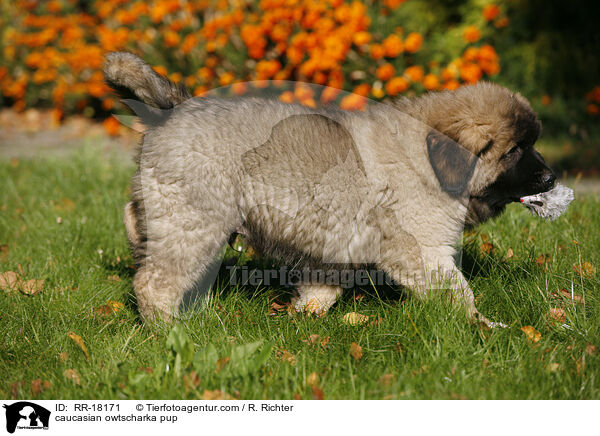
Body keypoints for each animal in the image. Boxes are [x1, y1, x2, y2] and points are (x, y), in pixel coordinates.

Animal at [104, 52, 556, 328]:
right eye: (516, 150)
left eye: (532, 143)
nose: (552, 178)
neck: (426, 158)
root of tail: (173, 109)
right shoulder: (423, 249)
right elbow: (458, 292)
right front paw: (483, 326)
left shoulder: (337, 246)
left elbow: (323, 286)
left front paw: (304, 315)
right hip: (195, 219)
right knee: (155, 281)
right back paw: (167, 329)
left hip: (171, 205)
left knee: (135, 218)